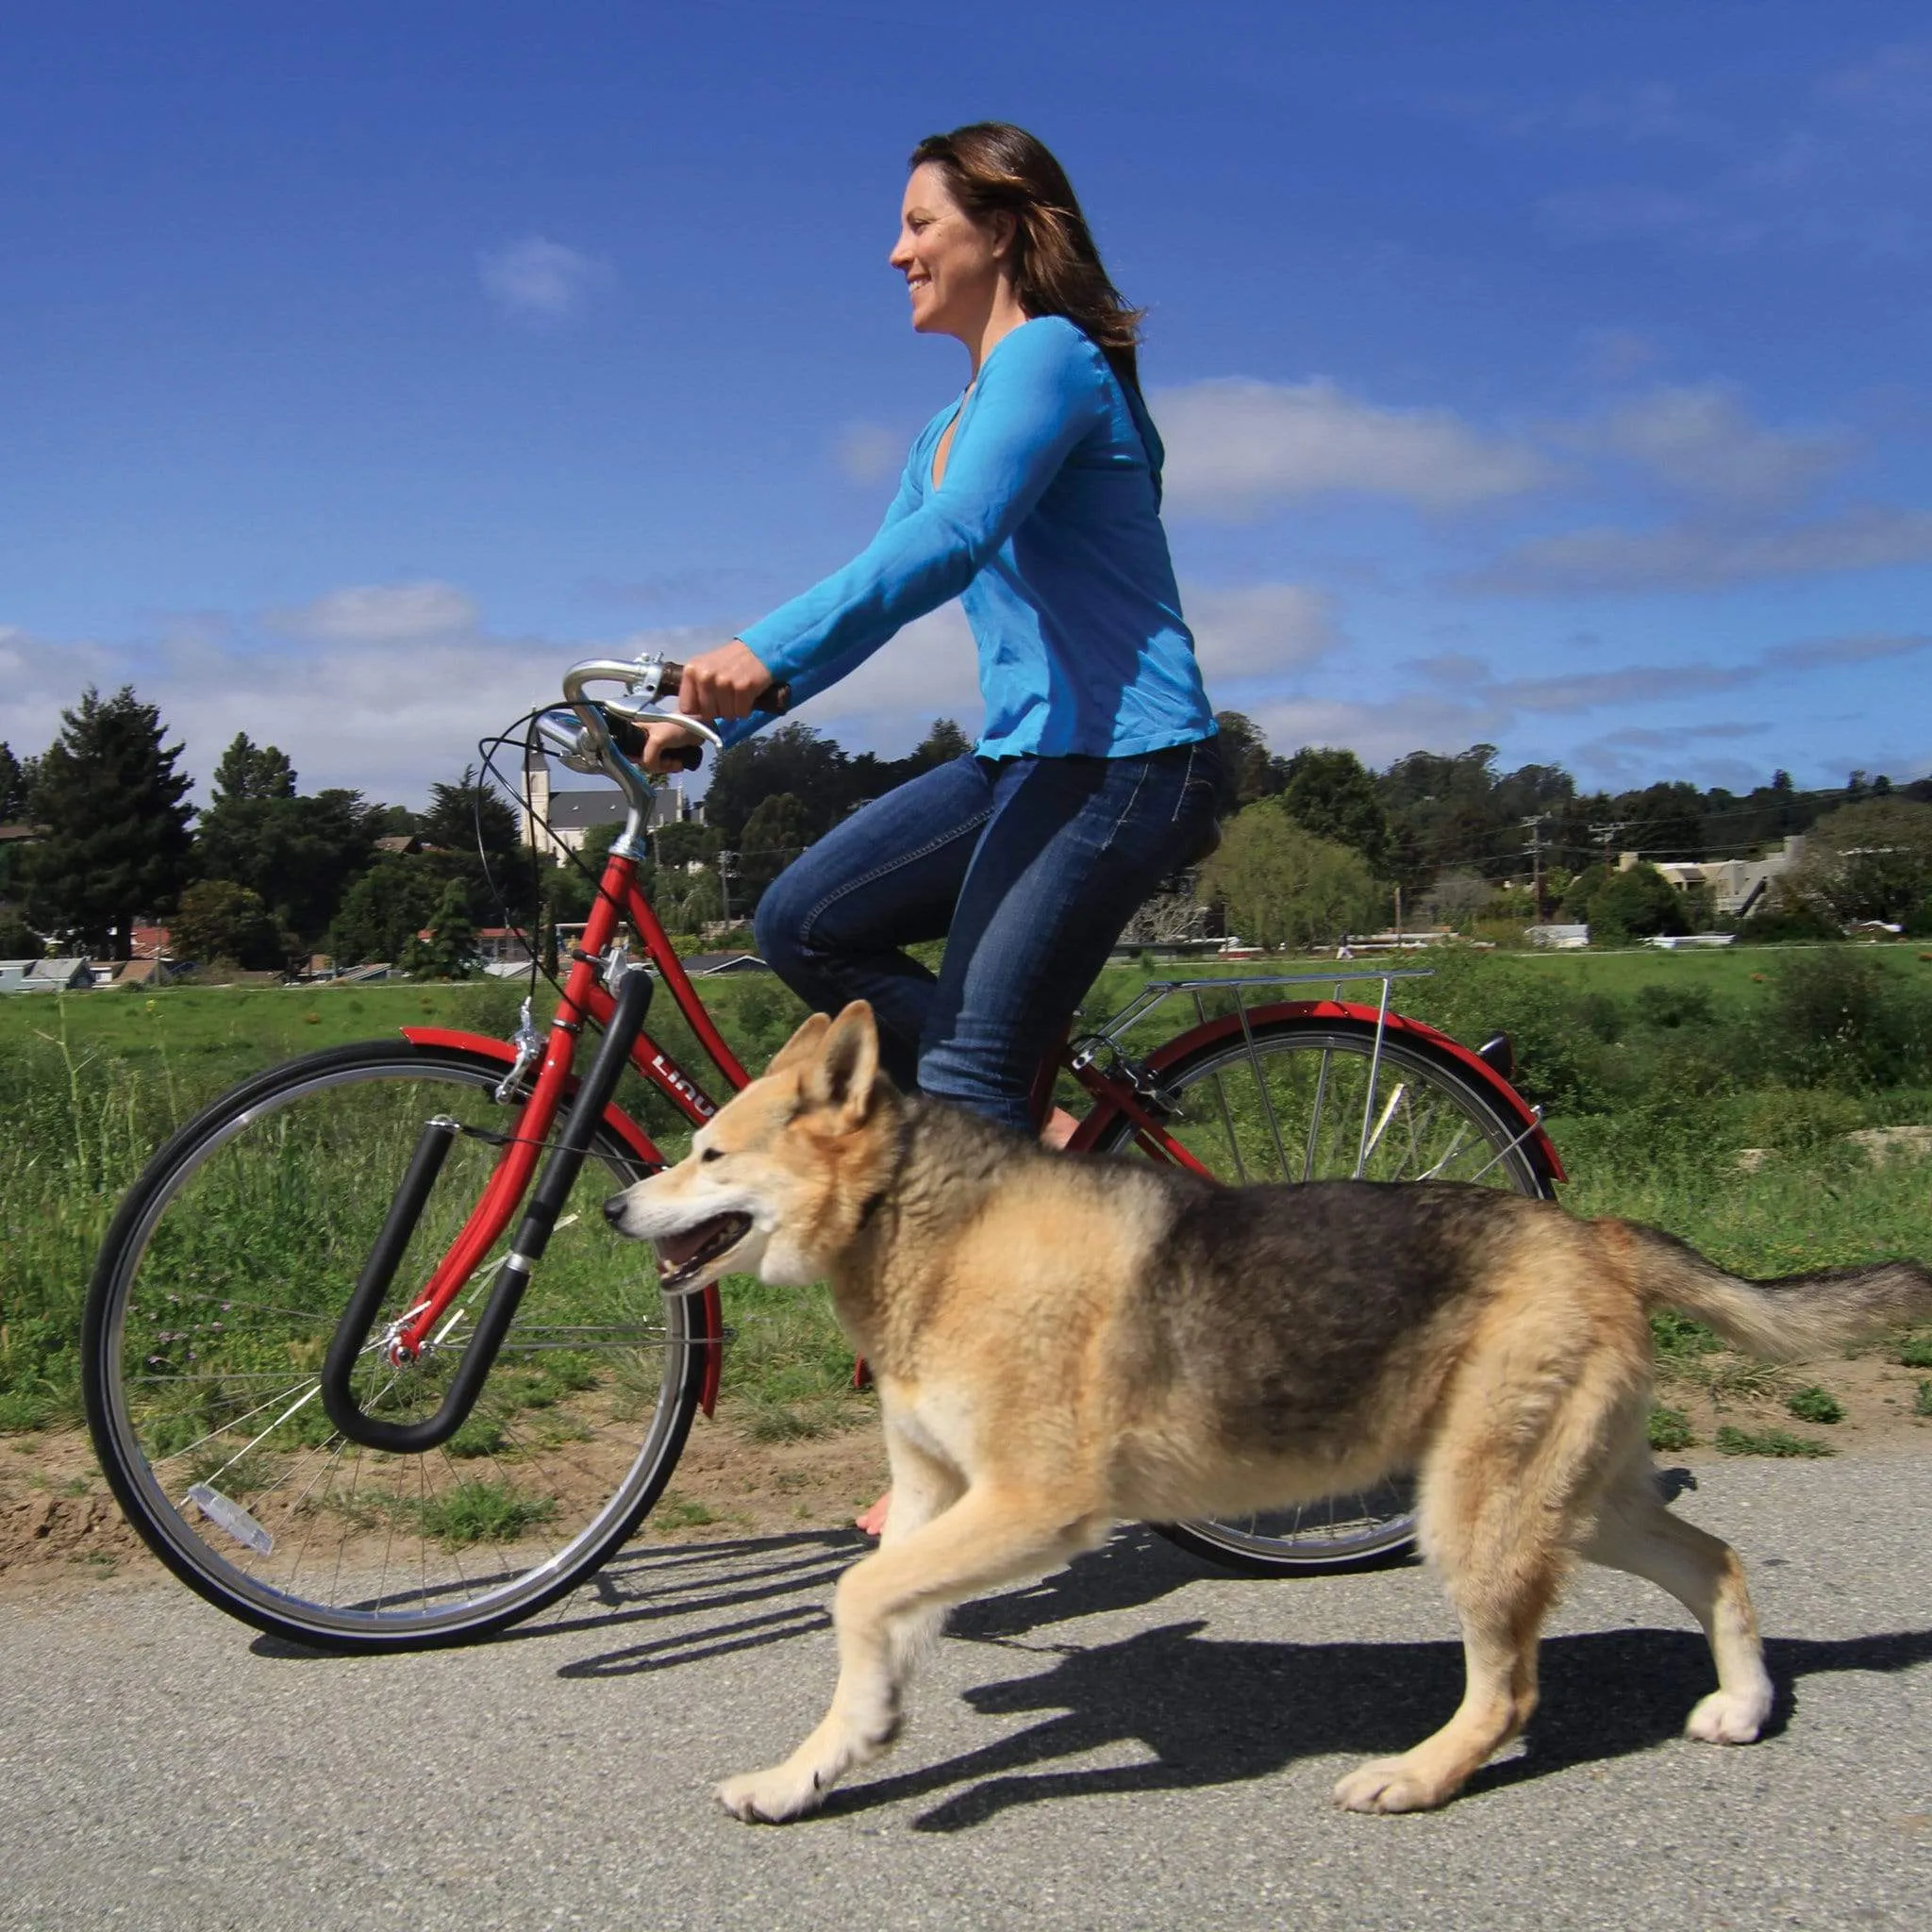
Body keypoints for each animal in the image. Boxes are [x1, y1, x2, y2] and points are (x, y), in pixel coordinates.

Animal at [602, 1004, 1932, 1816]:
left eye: (709, 1153)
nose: (613, 1210)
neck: (925, 1234)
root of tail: (1597, 1233)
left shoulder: (1028, 1508)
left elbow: (855, 1594)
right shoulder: (938, 1502)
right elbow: (868, 1626)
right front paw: (816, 1766)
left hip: (1480, 1514)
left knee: (1508, 1687)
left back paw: (1416, 1774)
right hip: (1571, 1498)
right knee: (1715, 1559)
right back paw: (1745, 1702)